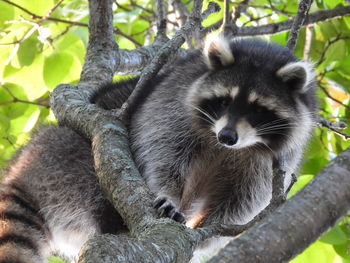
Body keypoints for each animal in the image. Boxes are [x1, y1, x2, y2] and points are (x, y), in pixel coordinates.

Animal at [0, 36, 318, 262]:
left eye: (257, 109)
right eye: (224, 101)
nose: (227, 136)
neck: (226, 148)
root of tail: (20, 166)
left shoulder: (276, 160)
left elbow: (242, 201)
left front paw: (205, 226)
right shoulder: (173, 99)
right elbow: (161, 150)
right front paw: (169, 195)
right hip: (63, 158)